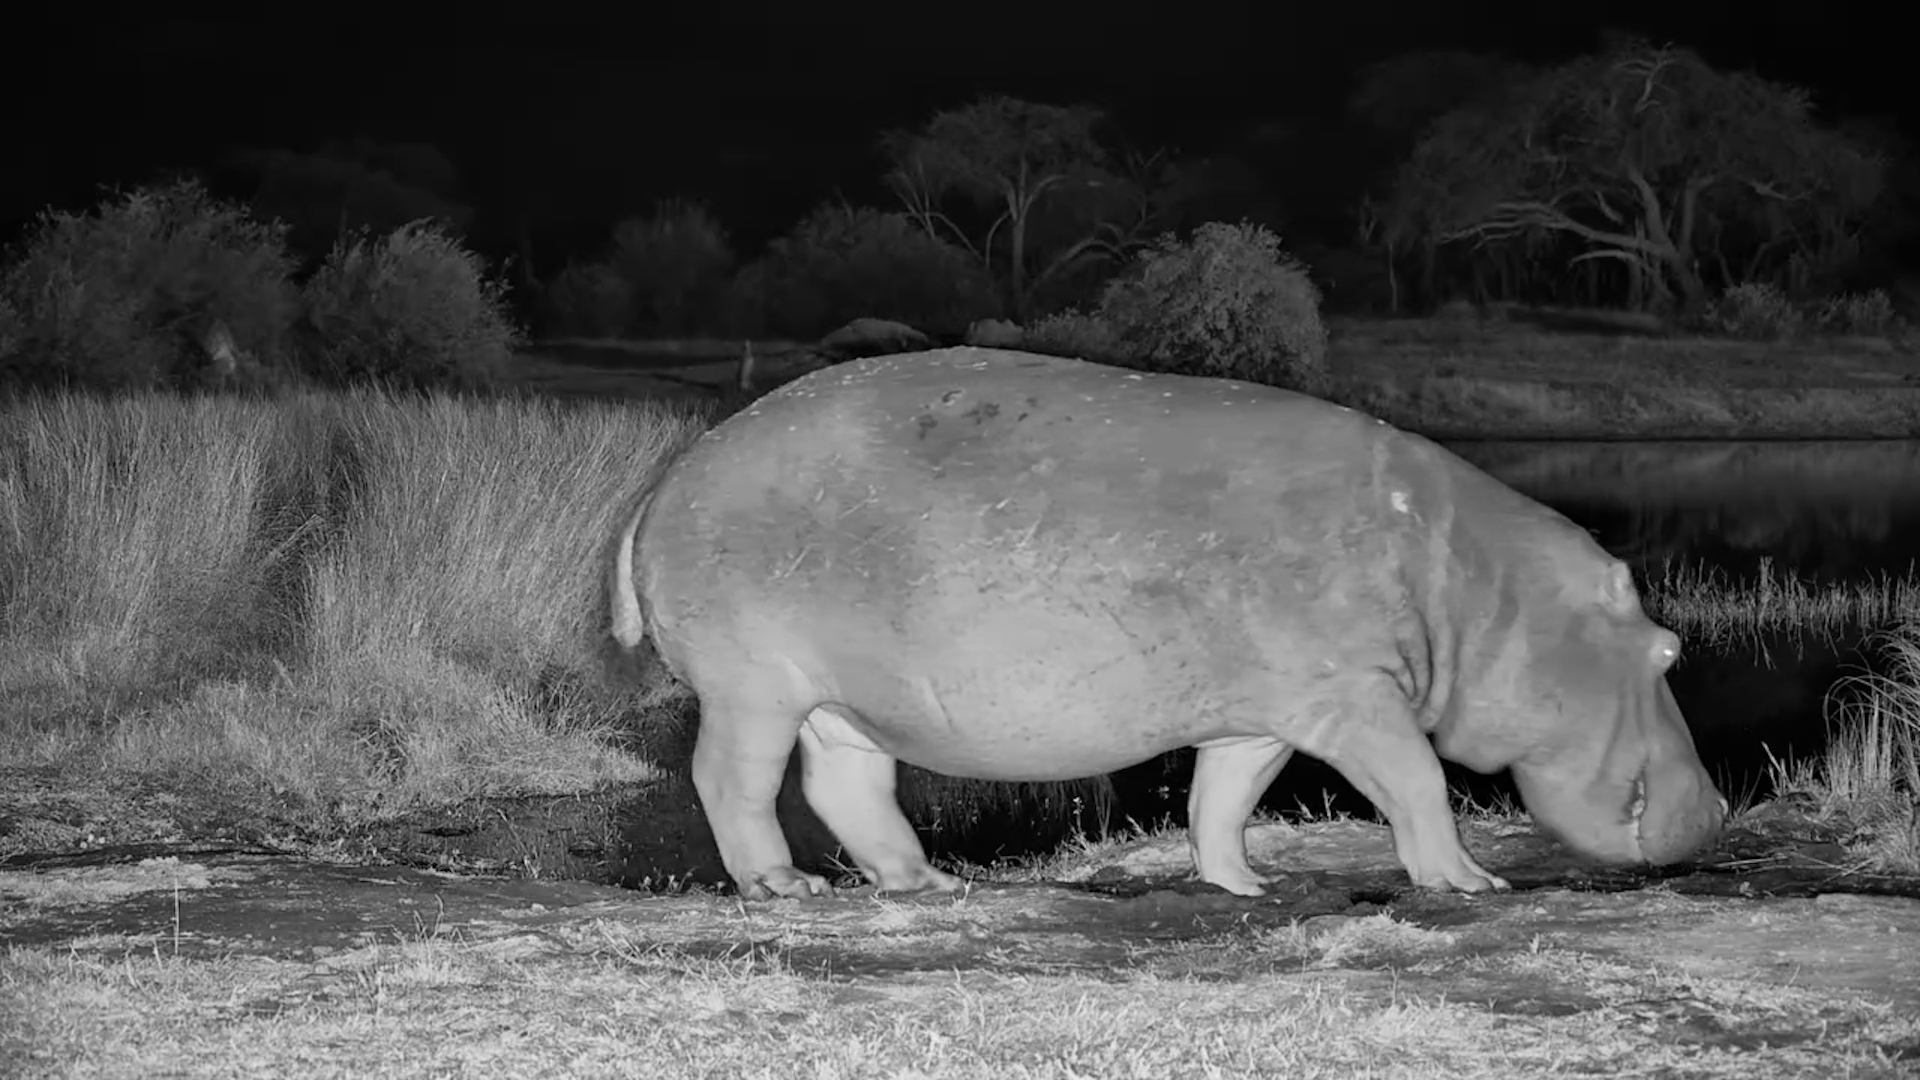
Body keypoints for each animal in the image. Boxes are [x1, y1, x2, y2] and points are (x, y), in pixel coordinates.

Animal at [609, 347, 1726, 900]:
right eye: (1669, 647)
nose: (1719, 810)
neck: (1485, 588)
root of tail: (665, 484)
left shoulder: (1264, 715)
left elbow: (1220, 802)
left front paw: (1248, 888)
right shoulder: (1357, 700)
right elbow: (1417, 784)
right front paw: (1471, 882)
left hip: (842, 703)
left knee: (845, 786)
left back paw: (924, 880)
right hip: (754, 687)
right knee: (733, 780)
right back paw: (783, 886)